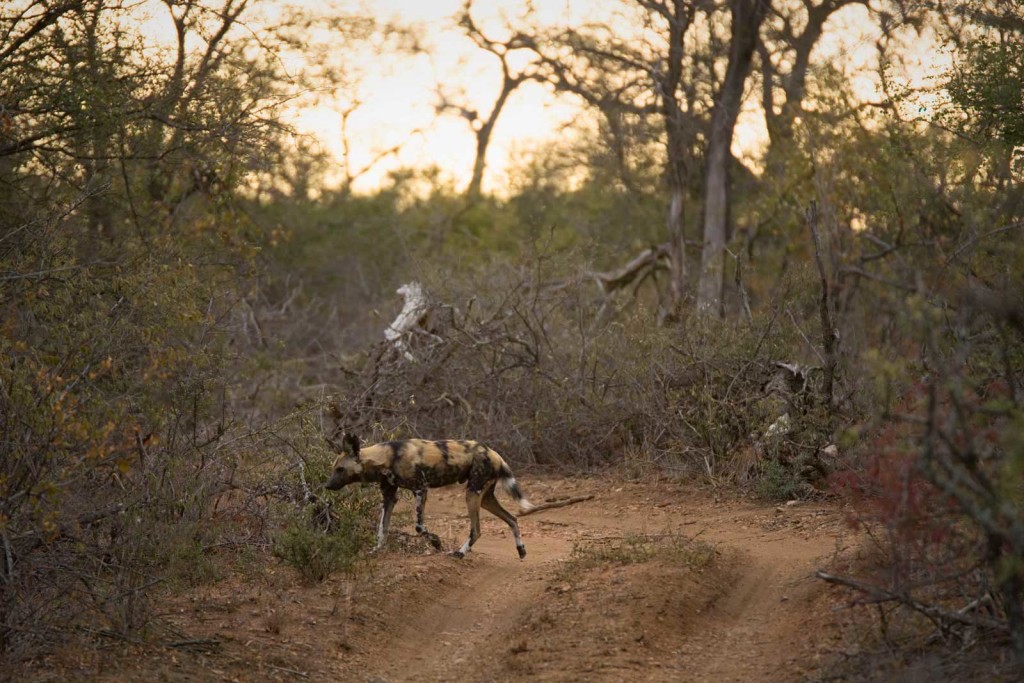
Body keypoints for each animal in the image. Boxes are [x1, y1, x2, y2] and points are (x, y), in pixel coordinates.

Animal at [323, 436, 536, 557]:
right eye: (333, 469)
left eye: (340, 469)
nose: (327, 485)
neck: (387, 457)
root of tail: (494, 453)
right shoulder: (389, 497)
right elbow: (382, 529)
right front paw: (376, 551)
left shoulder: (421, 489)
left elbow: (419, 526)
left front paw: (436, 542)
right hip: (485, 498)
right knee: (512, 518)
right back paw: (521, 550)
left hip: (471, 494)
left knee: (476, 530)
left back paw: (459, 553)